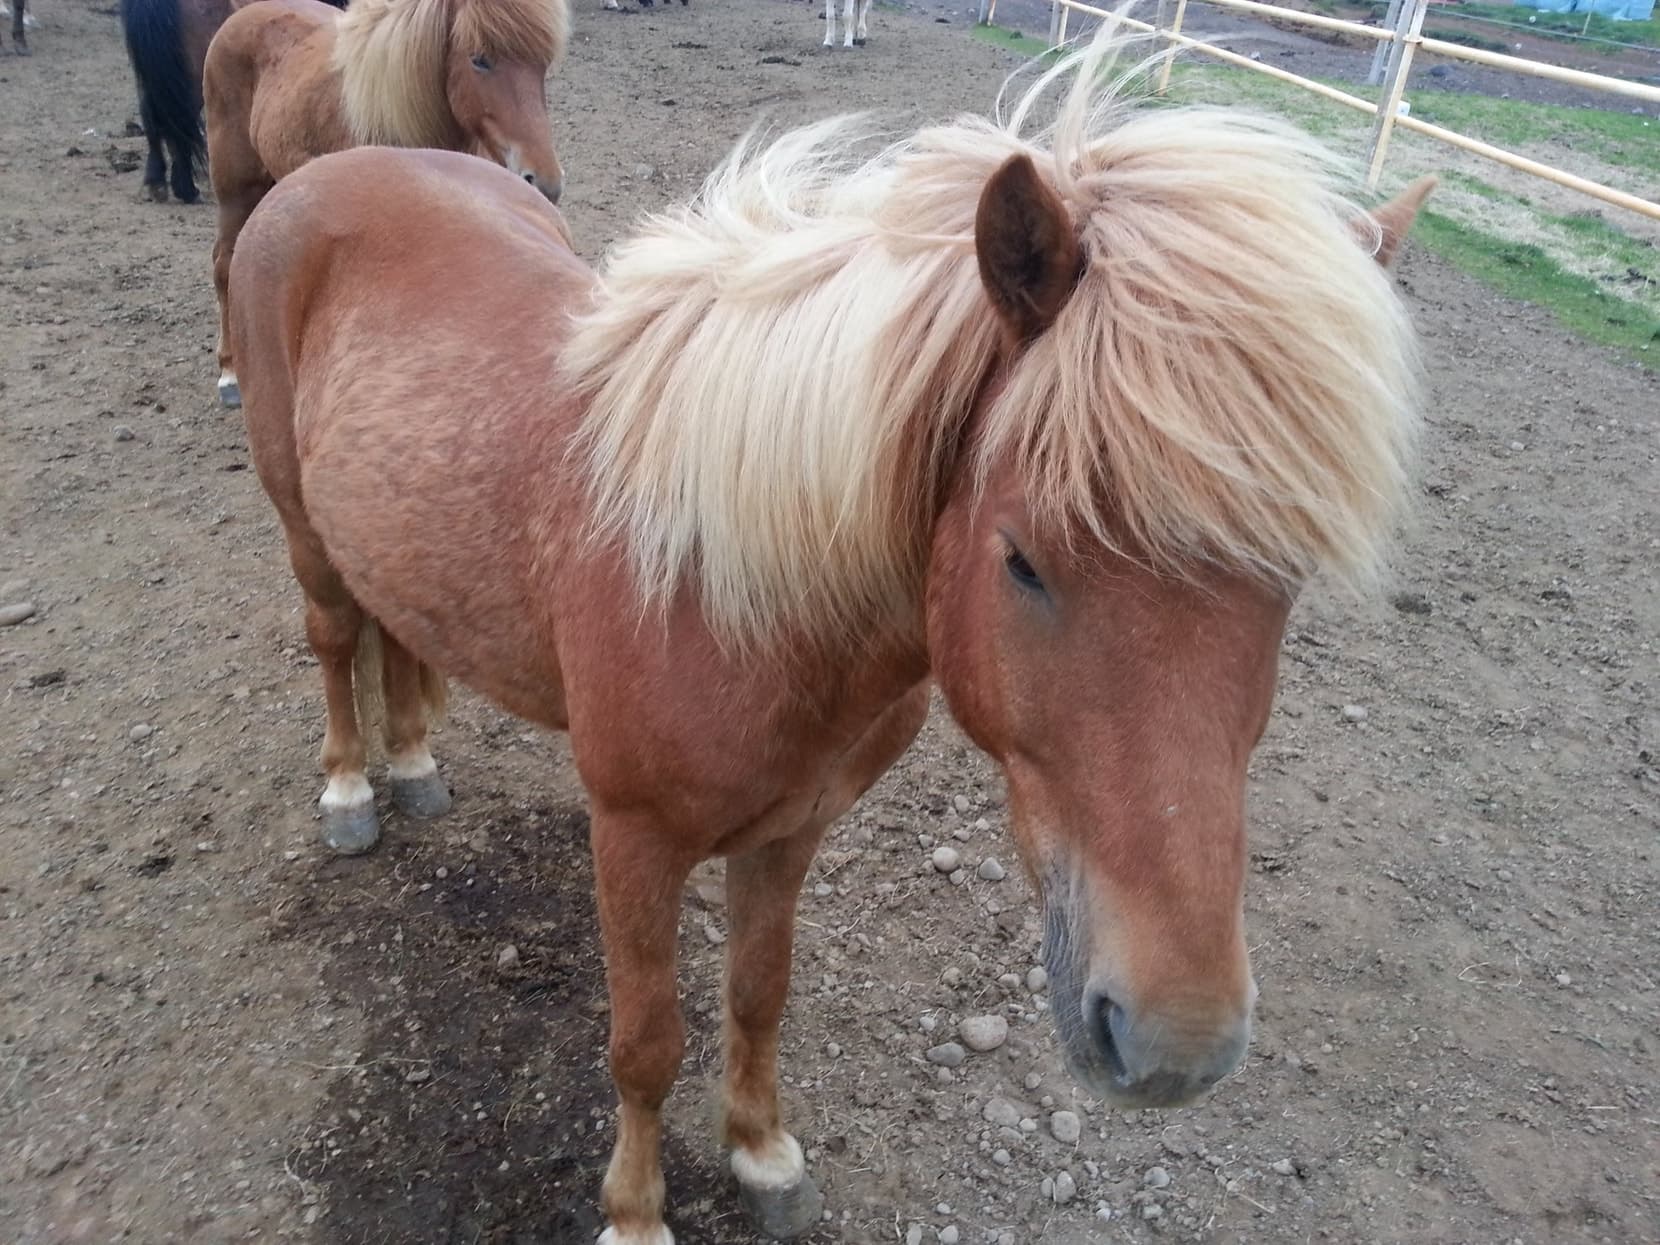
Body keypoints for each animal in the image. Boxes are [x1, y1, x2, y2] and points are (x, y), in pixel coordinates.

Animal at [204, 0, 568, 409]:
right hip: (235, 190)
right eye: (480, 60)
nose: (545, 182)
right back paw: (229, 373)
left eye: (542, 65)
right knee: (223, 263)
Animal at [227, 25, 1432, 1243]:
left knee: (397, 635)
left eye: (1287, 578)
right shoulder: (630, 837)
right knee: (334, 638)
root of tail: (343, 169)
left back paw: (415, 762)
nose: (1178, 1043)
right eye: (1023, 559)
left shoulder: (792, 828)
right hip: (301, 527)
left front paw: (763, 1156)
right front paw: (635, 1212)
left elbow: (760, 993)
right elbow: (644, 1044)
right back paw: (352, 791)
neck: (727, 584)